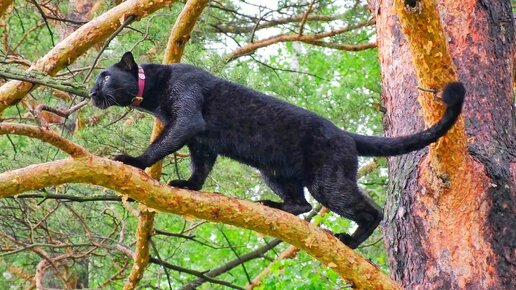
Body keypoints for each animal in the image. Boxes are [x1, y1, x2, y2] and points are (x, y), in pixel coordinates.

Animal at [90, 52, 466, 249]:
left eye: (105, 76)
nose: (91, 91)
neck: (152, 91)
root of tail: (344, 134)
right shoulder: (201, 142)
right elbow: (200, 169)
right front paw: (188, 186)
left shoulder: (187, 119)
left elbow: (160, 146)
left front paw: (134, 162)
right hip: (273, 171)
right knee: (301, 204)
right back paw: (273, 206)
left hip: (328, 182)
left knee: (369, 210)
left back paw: (349, 241)